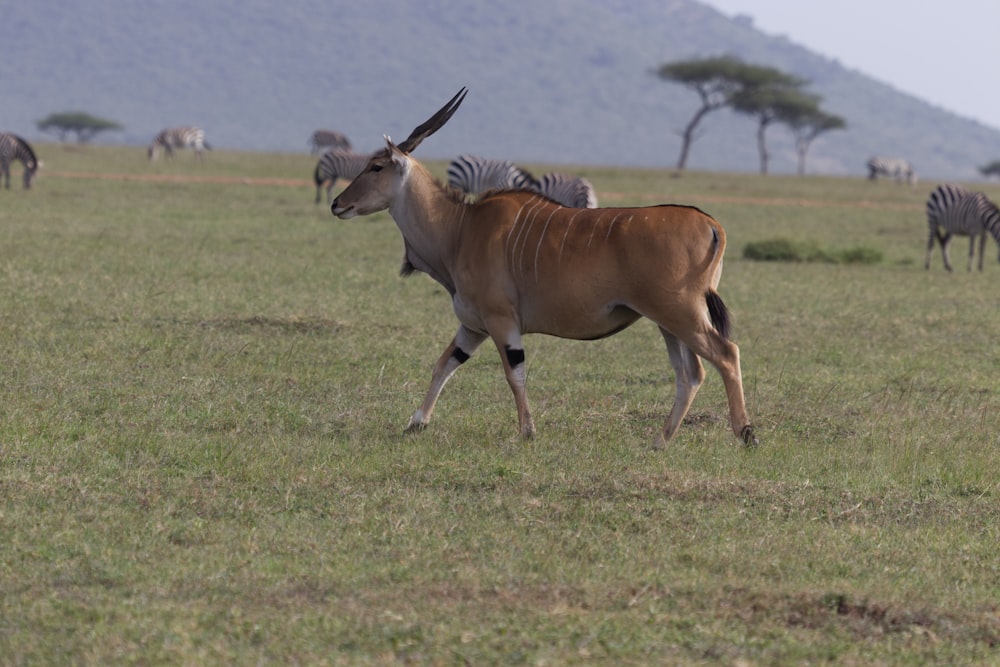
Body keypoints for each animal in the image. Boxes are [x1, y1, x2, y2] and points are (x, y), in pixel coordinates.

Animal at [332, 86, 752, 446]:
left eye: (375, 166)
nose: (338, 203)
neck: (459, 228)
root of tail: (710, 223)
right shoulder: (473, 326)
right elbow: (443, 364)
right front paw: (416, 423)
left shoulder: (501, 320)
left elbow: (513, 372)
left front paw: (527, 431)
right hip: (669, 322)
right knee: (691, 373)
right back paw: (659, 441)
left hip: (680, 313)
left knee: (726, 354)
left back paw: (745, 433)